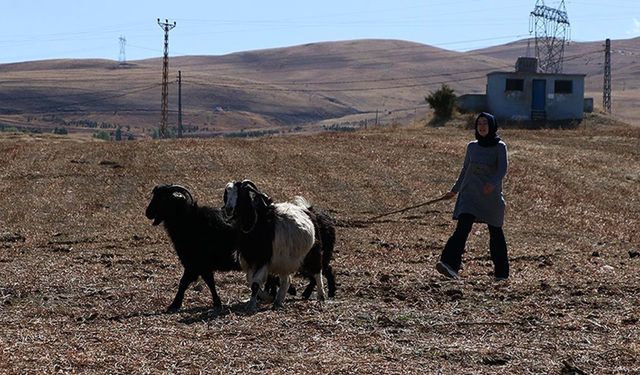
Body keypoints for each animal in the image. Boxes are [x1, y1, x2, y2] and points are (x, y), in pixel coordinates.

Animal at [145, 184, 240, 312]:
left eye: (164, 198)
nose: (148, 213)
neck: (190, 220)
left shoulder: (195, 264)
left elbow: (184, 283)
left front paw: (174, 304)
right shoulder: (202, 266)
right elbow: (209, 282)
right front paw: (217, 302)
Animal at [225, 181, 324, 310]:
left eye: (241, 193)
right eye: (227, 193)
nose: (228, 209)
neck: (256, 224)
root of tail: (308, 211)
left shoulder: (263, 260)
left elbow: (255, 283)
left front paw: (252, 305)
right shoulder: (251, 260)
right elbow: (250, 281)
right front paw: (266, 297)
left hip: (313, 253)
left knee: (317, 271)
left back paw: (321, 296)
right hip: (285, 261)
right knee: (286, 280)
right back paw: (278, 301)